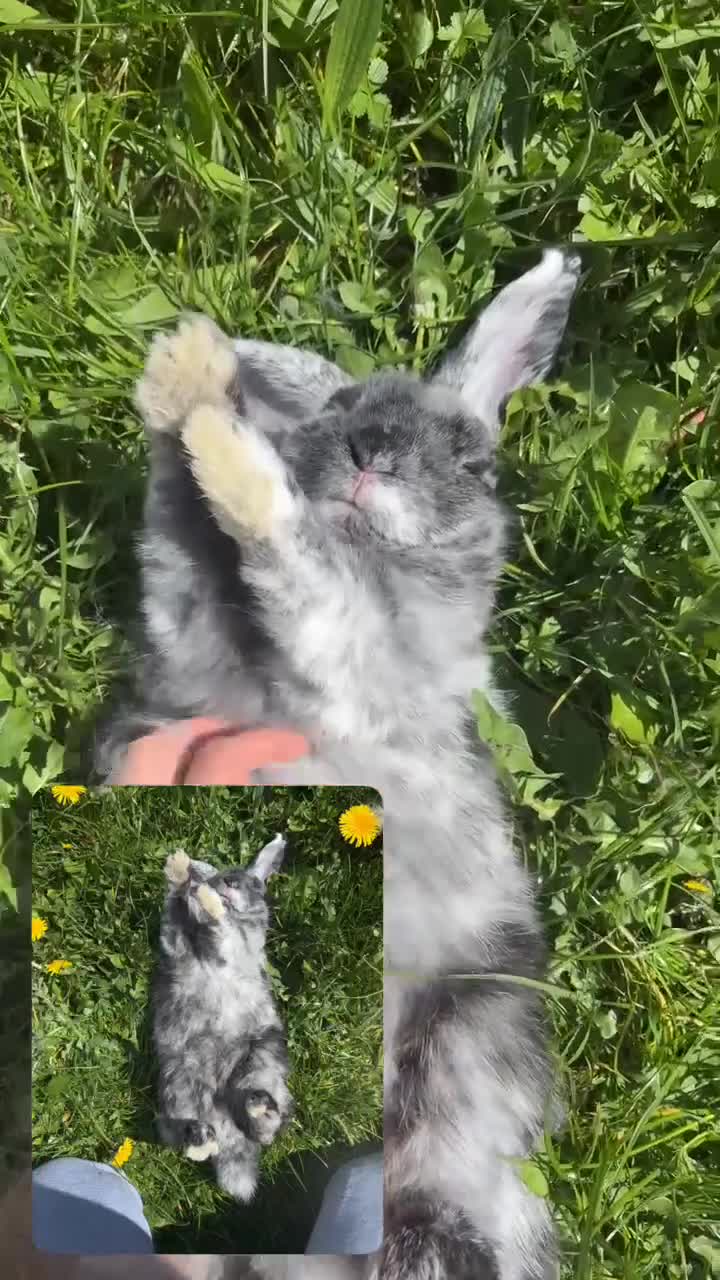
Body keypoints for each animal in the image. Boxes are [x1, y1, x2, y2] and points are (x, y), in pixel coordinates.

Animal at [152, 834, 294, 1203]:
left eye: (255, 883)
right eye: (223, 875)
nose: (227, 884)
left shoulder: (232, 941)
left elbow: (219, 930)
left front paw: (202, 897)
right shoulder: (177, 942)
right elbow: (175, 912)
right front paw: (181, 870)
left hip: (261, 1060)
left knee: (265, 1128)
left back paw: (258, 1107)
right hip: (179, 1083)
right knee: (182, 1131)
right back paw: (201, 1139)